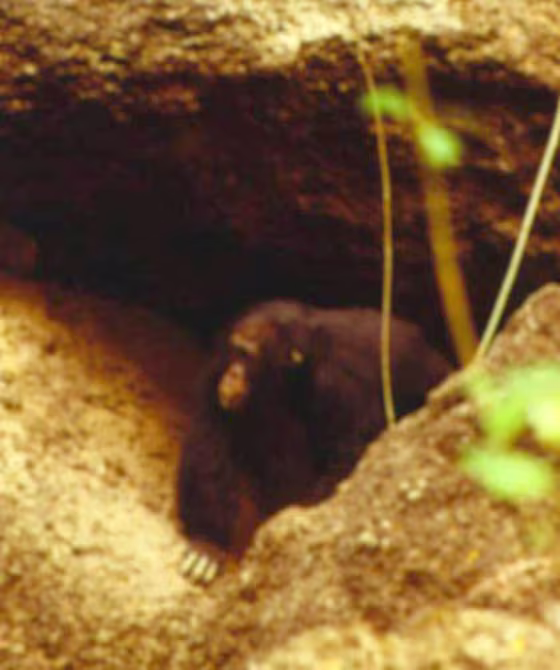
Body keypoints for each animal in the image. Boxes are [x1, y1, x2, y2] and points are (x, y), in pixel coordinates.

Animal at [177, 300, 452, 583]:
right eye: (236, 350)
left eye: (247, 354)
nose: (232, 374)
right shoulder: (218, 364)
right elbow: (212, 438)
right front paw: (207, 544)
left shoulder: (339, 386)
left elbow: (347, 455)